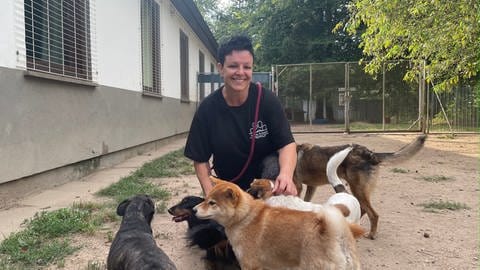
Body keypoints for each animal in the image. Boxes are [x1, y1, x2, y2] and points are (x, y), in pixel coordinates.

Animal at [296, 135, 428, 238]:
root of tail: (370, 154)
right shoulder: (311, 186)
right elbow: (306, 201)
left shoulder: (298, 186)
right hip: (358, 190)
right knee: (364, 209)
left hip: (357, 188)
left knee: (373, 214)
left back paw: (371, 234)